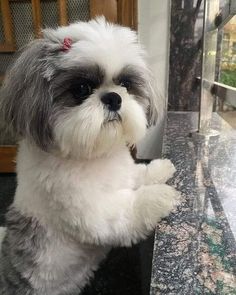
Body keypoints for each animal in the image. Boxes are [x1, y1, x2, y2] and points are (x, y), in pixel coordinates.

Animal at [0, 17, 178, 295]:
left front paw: (160, 169)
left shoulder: (124, 174)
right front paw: (159, 195)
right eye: (82, 88)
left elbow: (138, 174)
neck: (94, 155)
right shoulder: (93, 212)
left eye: (125, 84)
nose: (113, 97)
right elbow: (129, 206)